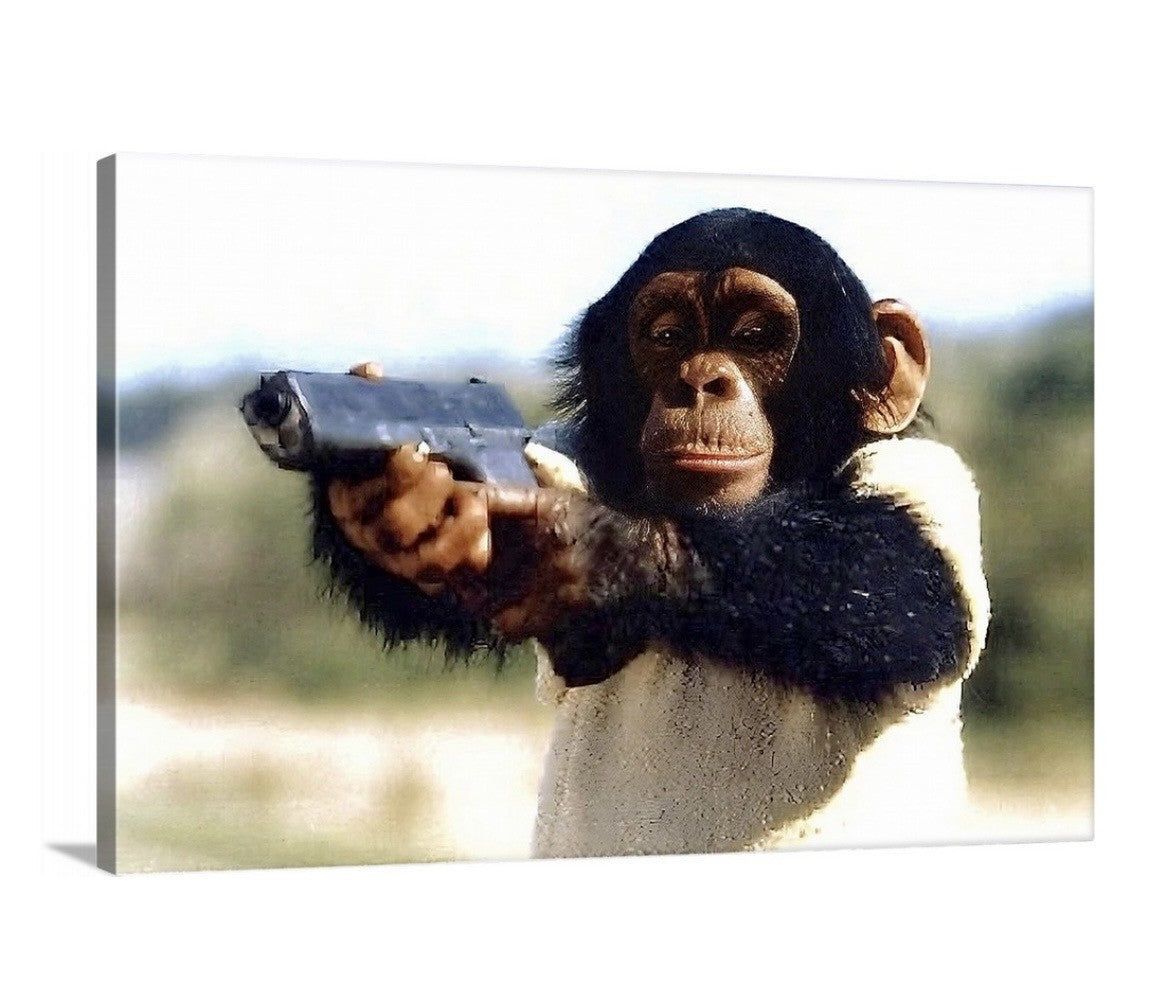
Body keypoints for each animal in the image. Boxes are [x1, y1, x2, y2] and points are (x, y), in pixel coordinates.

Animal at [315, 208, 989, 857]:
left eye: (755, 336)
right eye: (668, 337)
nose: (701, 380)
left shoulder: (926, 478)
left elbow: (899, 579)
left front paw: (603, 551)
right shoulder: (561, 451)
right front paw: (394, 505)